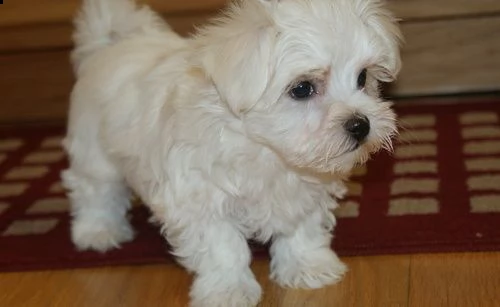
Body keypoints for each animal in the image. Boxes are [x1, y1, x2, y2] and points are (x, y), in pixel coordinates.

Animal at [61, 0, 402, 306]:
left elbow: (302, 228)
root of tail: (110, 45)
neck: (265, 151)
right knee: (94, 189)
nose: (360, 124)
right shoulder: (200, 201)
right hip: (94, 150)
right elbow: (222, 248)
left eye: (362, 78)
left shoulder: (303, 193)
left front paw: (308, 266)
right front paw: (229, 291)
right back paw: (97, 231)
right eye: (302, 88)